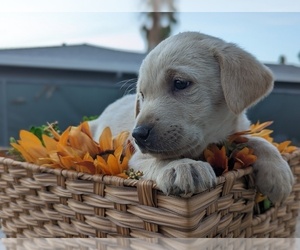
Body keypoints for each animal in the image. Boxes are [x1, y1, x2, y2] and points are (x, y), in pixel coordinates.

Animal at [88, 31, 292, 203]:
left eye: (180, 83)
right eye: (142, 95)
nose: (137, 134)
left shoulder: (236, 133)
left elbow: (258, 141)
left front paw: (278, 173)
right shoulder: (136, 159)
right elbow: (161, 158)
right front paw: (182, 166)